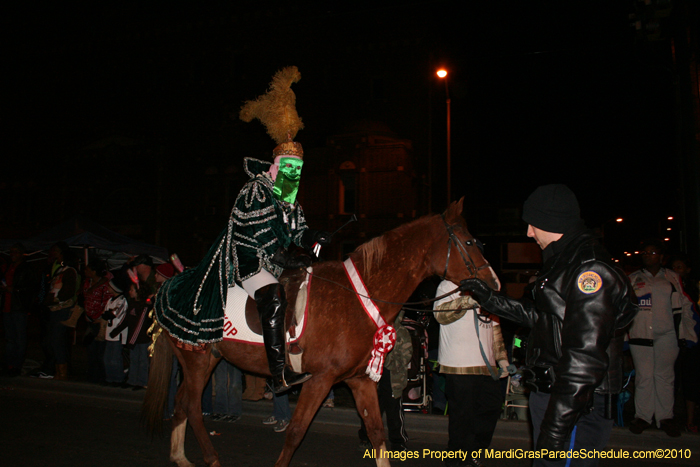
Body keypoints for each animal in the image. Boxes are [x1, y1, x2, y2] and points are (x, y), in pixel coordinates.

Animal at [142, 199, 500, 467]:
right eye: (470, 242)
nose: (494, 285)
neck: (358, 295)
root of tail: (167, 286)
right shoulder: (319, 379)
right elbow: (295, 432)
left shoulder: (359, 379)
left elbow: (376, 432)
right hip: (197, 361)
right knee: (190, 406)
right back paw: (211, 458)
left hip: (205, 360)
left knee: (181, 403)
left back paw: (180, 457)